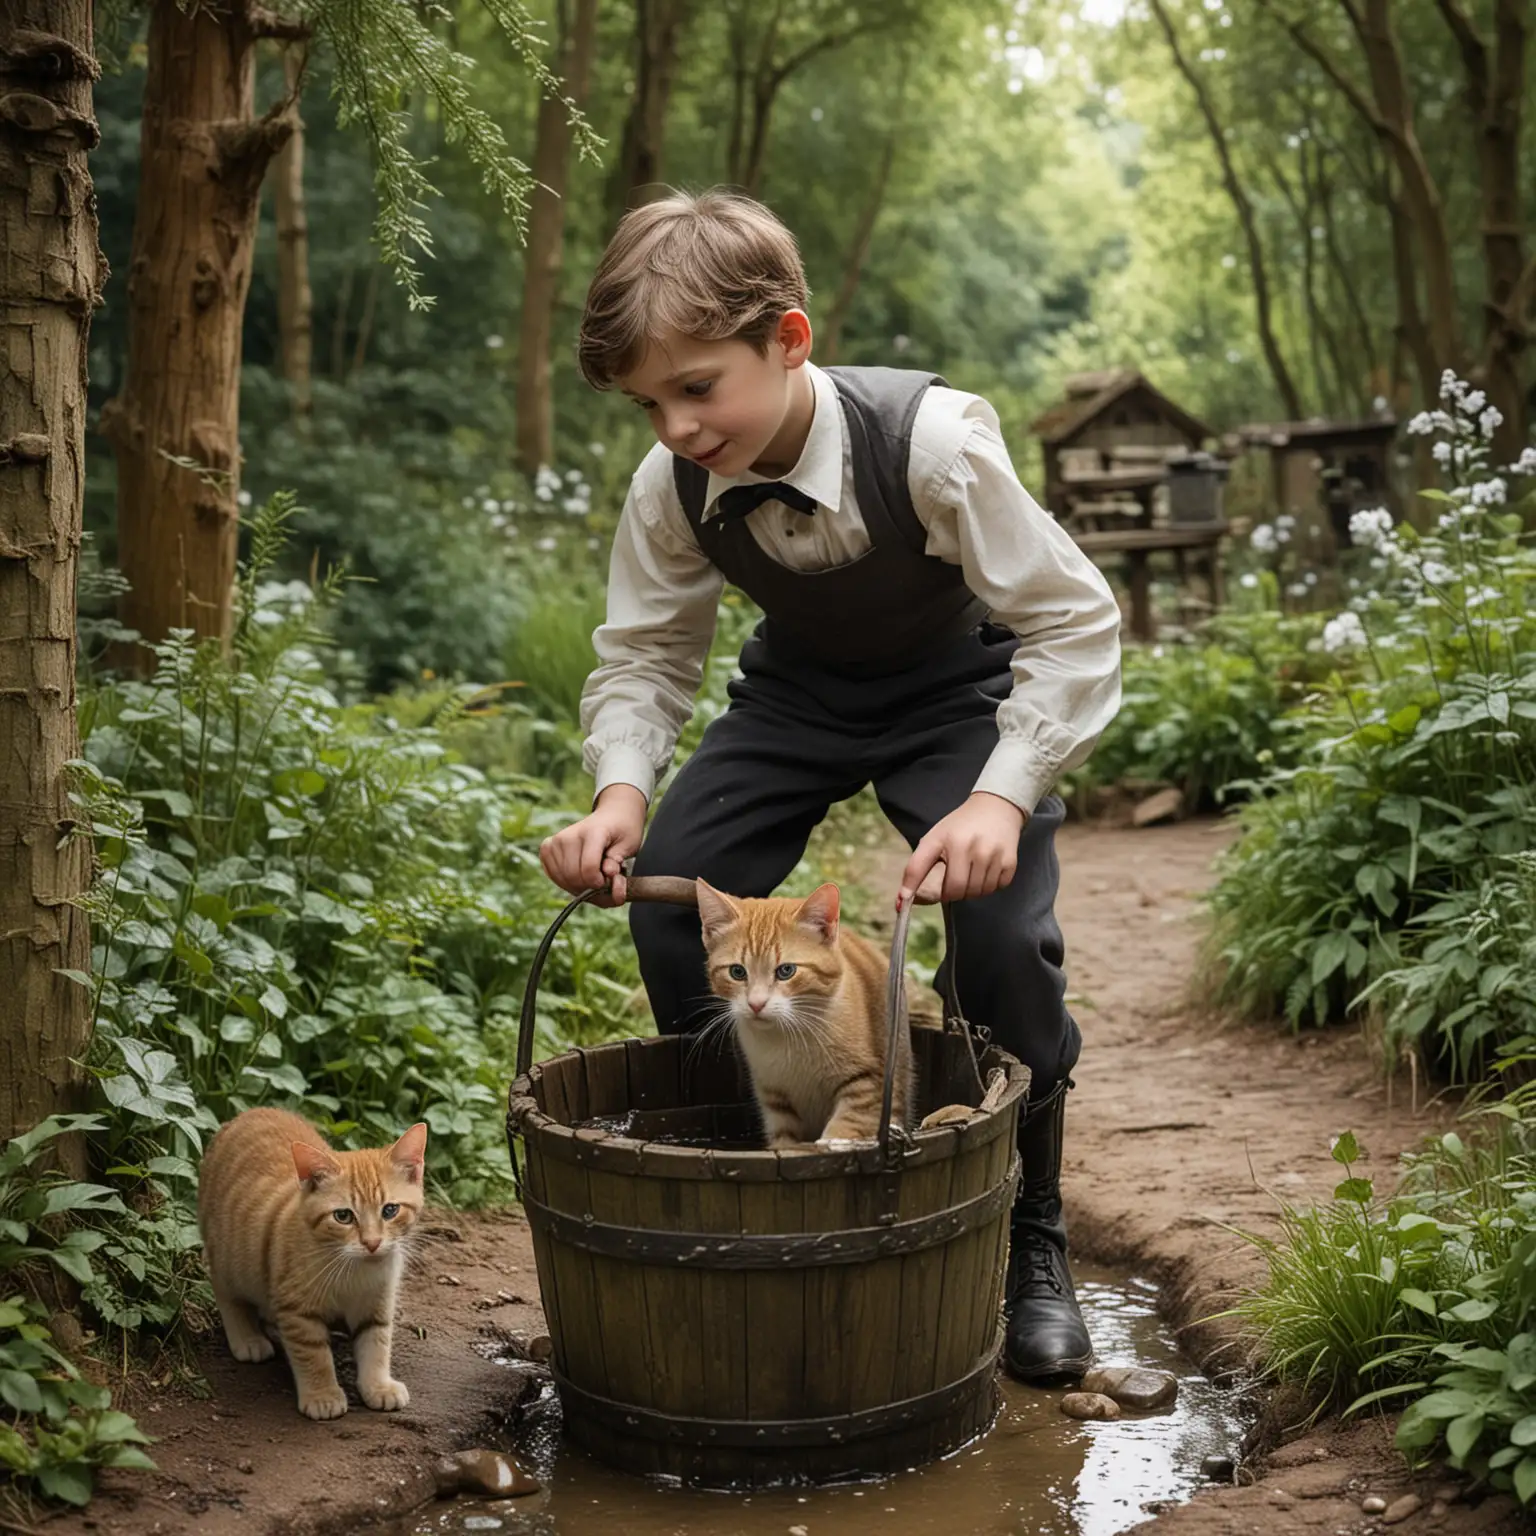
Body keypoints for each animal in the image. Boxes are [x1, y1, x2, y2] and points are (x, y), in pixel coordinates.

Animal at [199, 1112, 427, 1419]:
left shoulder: (378, 1301)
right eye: (343, 1216)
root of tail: (245, 1114)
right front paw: (323, 1395)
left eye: (390, 1210)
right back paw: (247, 1338)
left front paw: (378, 1386)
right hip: (229, 1261)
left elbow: (376, 1343)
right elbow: (313, 1354)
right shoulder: (297, 1309)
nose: (372, 1243)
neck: (357, 1270)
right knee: (225, 1291)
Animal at [697, 884, 909, 1148]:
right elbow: (784, 1140)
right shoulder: (775, 1099)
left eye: (786, 971)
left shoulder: (869, 1085)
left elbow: (845, 1127)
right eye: (737, 972)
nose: (756, 1004)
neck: (787, 1037)